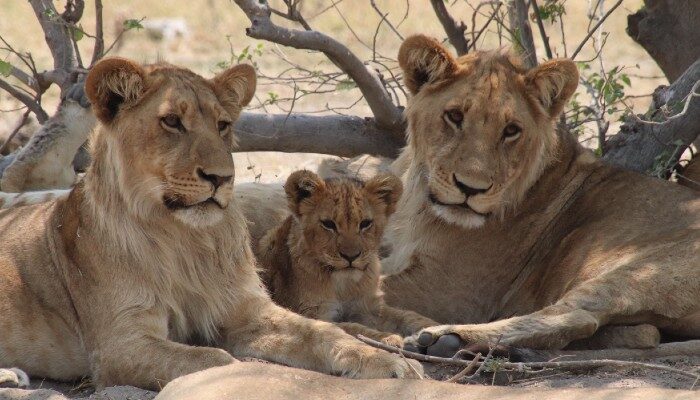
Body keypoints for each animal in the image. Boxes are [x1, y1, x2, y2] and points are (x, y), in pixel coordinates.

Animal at [0, 55, 418, 388]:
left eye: (222, 125)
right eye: (171, 122)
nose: (222, 178)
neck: (185, 238)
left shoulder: (247, 311)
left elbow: (321, 332)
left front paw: (387, 361)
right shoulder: (120, 345)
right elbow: (212, 360)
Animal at [258, 170, 438, 348]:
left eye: (365, 223)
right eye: (328, 224)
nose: (351, 257)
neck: (345, 285)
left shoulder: (367, 305)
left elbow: (405, 315)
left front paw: (434, 329)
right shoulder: (315, 314)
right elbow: (352, 328)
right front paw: (388, 338)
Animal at [378, 34, 700, 354]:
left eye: (511, 130)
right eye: (454, 116)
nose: (471, 188)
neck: (417, 196)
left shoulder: (449, 288)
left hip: (640, 271)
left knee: (577, 317)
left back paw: (443, 339)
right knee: (641, 331)